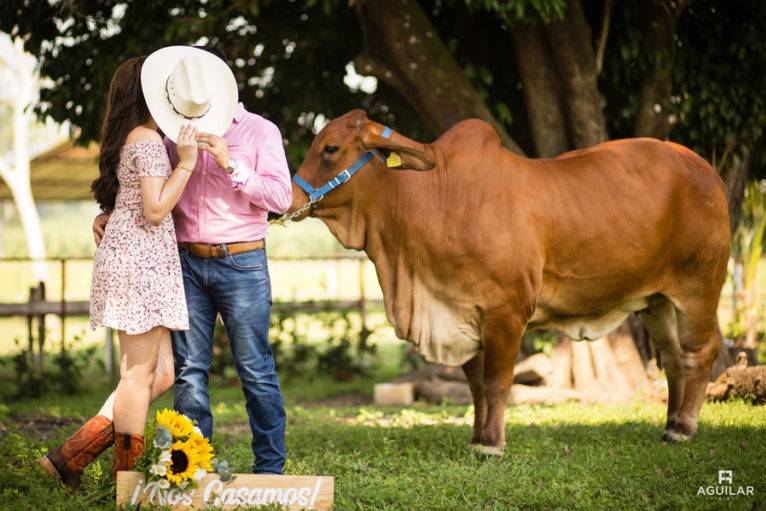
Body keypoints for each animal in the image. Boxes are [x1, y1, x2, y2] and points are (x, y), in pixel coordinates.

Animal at [286, 110, 732, 454]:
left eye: (330, 149)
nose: (291, 198)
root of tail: (706, 169)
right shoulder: (459, 315)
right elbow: (475, 386)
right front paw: (476, 438)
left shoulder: (505, 312)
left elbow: (497, 382)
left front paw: (492, 445)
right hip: (656, 301)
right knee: (672, 357)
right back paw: (670, 424)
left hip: (698, 290)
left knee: (701, 352)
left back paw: (684, 428)